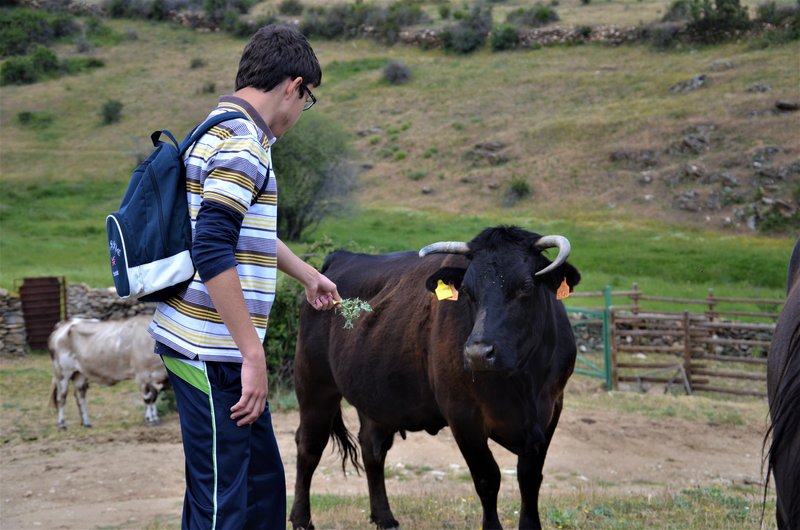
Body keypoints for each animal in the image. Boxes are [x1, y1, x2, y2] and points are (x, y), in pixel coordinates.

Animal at [290, 225, 580, 524]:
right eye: (467, 291)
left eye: (525, 286)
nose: (478, 352)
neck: (522, 382)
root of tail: (341, 258)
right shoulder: (462, 414)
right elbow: (487, 479)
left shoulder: (551, 408)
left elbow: (530, 479)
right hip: (314, 384)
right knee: (309, 446)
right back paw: (301, 519)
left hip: (372, 393)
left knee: (372, 447)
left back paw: (385, 518)